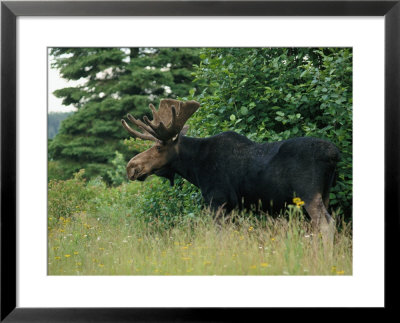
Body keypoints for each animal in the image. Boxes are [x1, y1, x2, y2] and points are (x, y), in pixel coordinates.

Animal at [122, 100, 340, 242]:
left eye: (159, 147)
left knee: (327, 225)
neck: (195, 168)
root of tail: (334, 154)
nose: (131, 167)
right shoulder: (235, 208)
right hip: (325, 193)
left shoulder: (218, 201)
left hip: (309, 193)